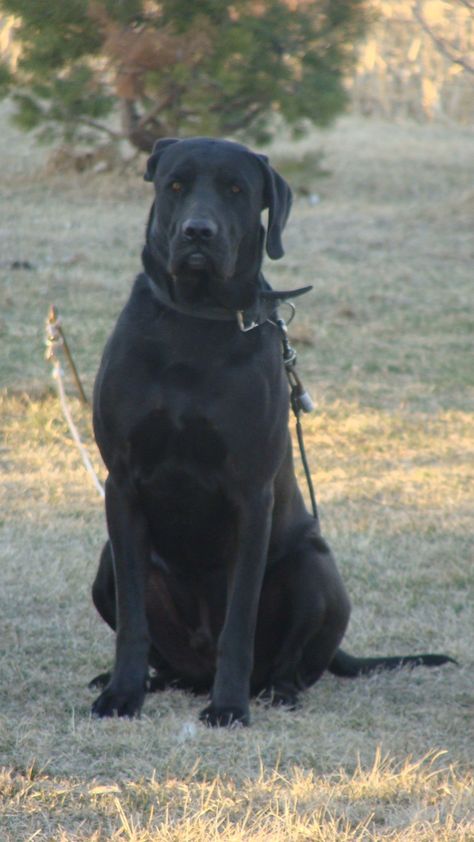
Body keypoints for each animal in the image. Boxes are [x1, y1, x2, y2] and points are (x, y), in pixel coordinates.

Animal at [91, 138, 452, 720]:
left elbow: (240, 618)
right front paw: (122, 693)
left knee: (296, 664)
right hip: (105, 563)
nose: (198, 232)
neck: (196, 320)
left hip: (314, 564)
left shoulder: (251, 493)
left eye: (236, 190)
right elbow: (132, 618)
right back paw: (154, 679)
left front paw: (229, 707)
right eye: (175, 185)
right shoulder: (122, 484)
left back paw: (275, 691)